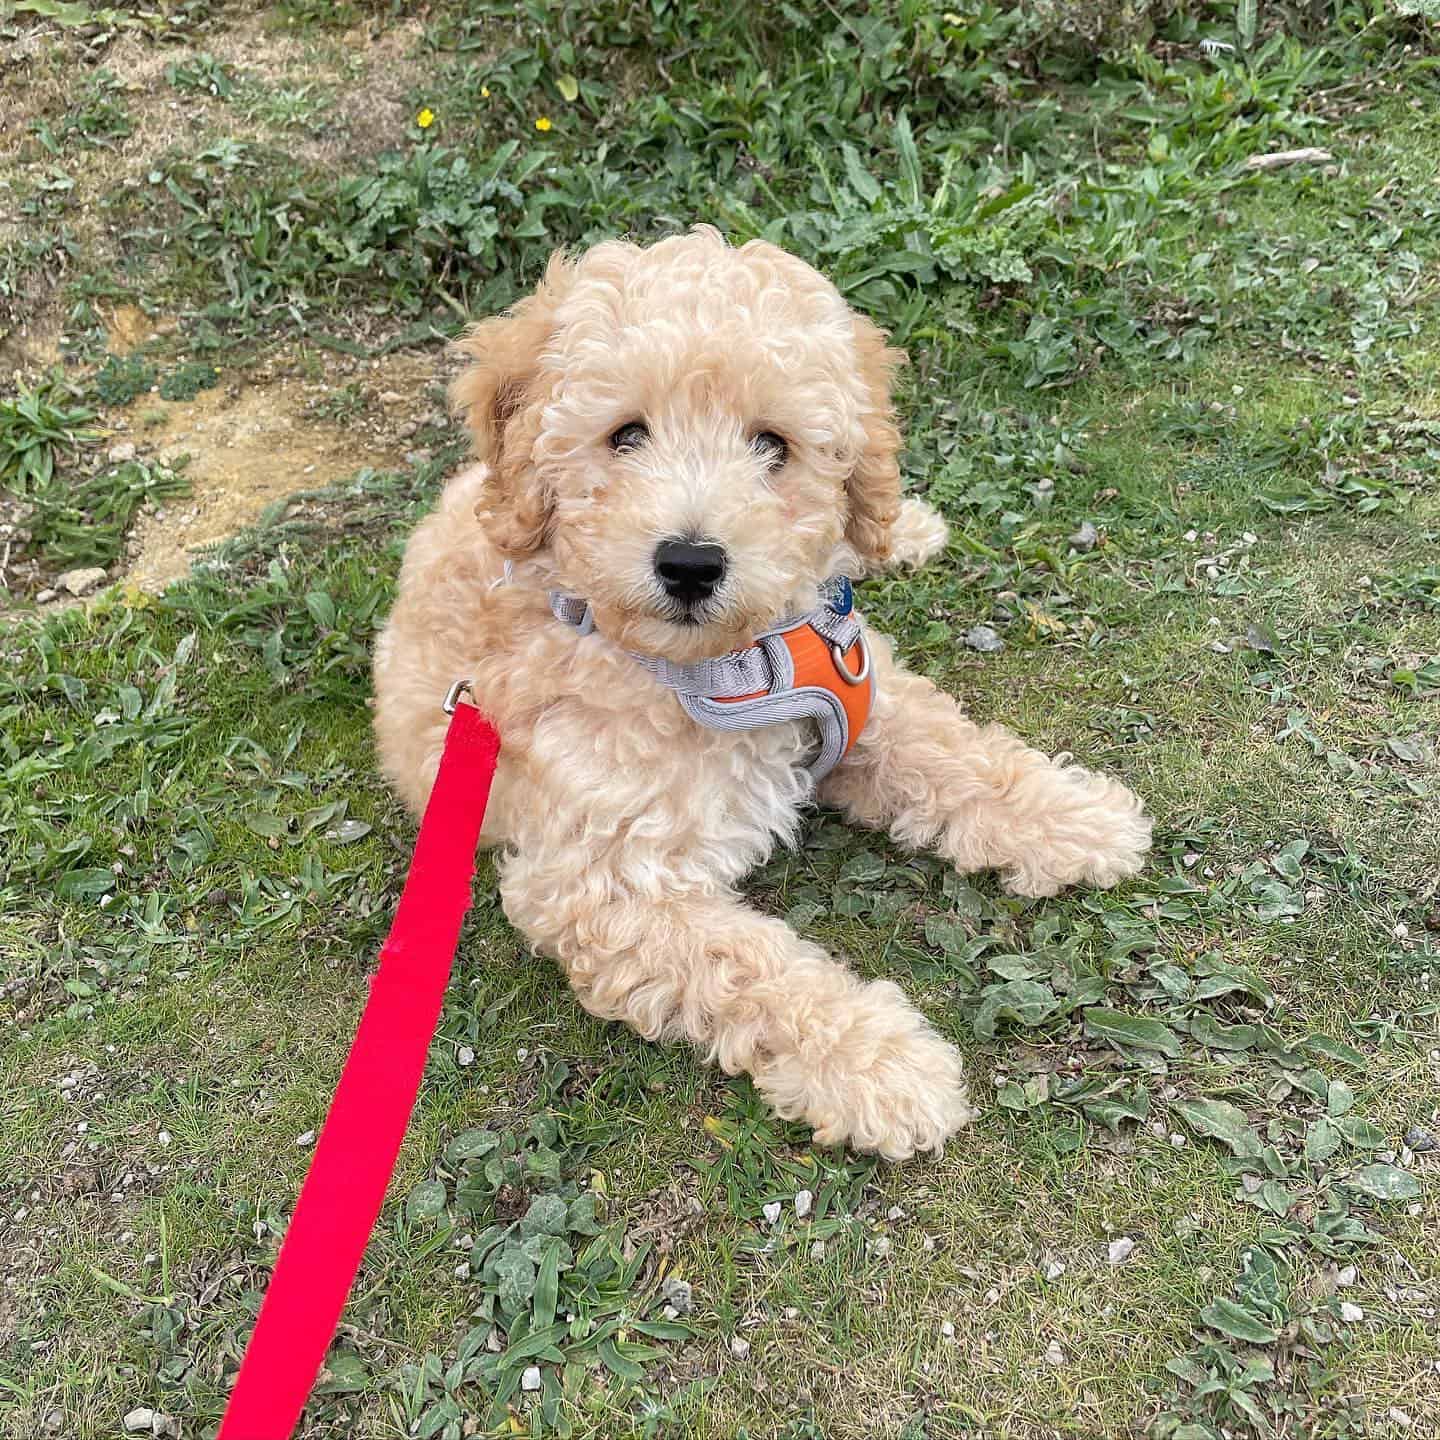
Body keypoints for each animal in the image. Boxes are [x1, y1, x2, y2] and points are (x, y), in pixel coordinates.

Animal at [371, 230, 1146, 1163]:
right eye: (625, 435)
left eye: (773, 444)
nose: (690, 563)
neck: (721, 667)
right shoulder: (601, 884)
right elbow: (750, 969)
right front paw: (883, 1067)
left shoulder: (856, 690)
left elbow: (951, 750)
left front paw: (1073, 818)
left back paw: (903, 529)